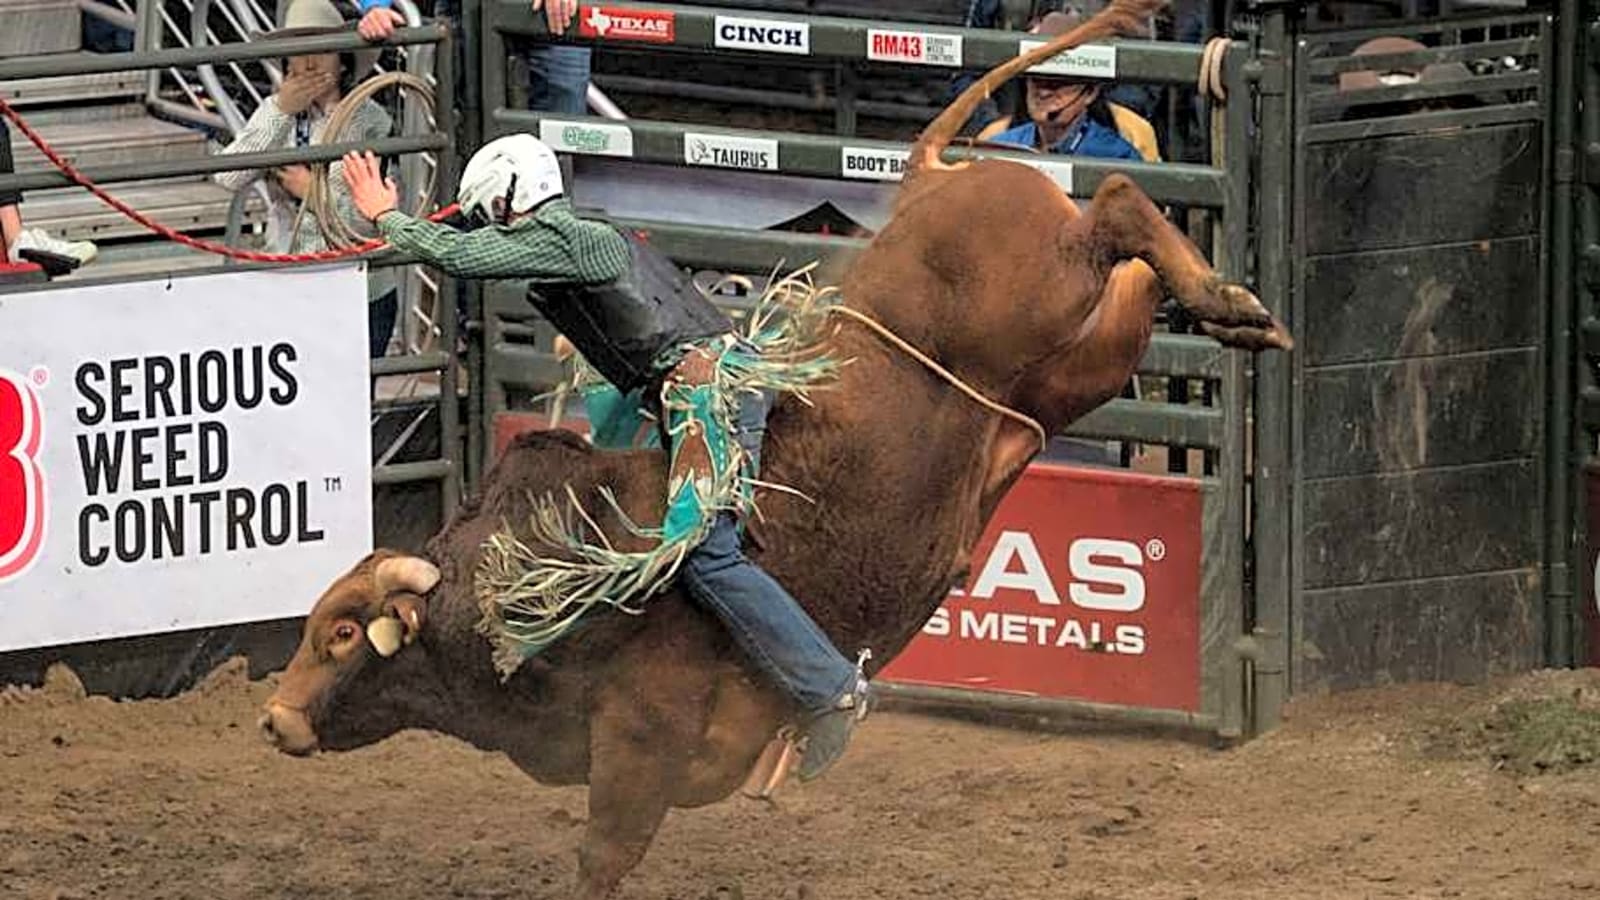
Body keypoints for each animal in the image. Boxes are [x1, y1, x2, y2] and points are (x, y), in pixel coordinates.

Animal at [258, 2, 1291, 897]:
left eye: (341, 634)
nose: (272, 718)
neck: (513, 584)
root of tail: (934, 176)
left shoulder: (639, 748)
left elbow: (601, 858)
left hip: (1052, 296)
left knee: (1116, 199)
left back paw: (1235, 303)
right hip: (1074, 363)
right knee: (1130, 264)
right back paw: (1233, 315)